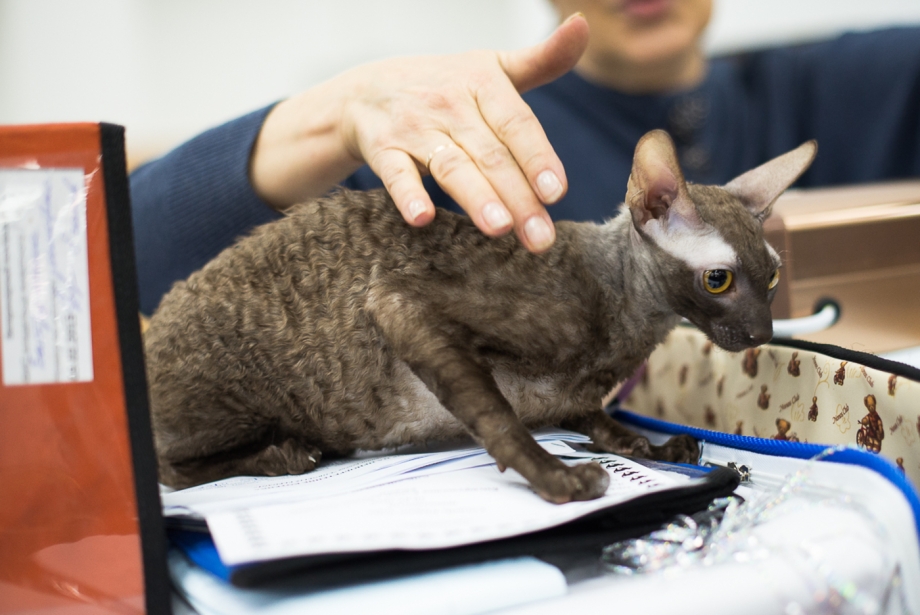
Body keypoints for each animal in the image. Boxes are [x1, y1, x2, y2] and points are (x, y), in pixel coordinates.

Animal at [147, 130, 816, 500]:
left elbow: (596, 419)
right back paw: (281, 454)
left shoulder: (579, 395)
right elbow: (499, 417)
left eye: (773, 275)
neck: (628, 316)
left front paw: (648, 445)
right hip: (224, 404)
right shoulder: (398, 301)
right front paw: (553, 476)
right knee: (169, 470)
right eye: (719, 279)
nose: (763, 331)